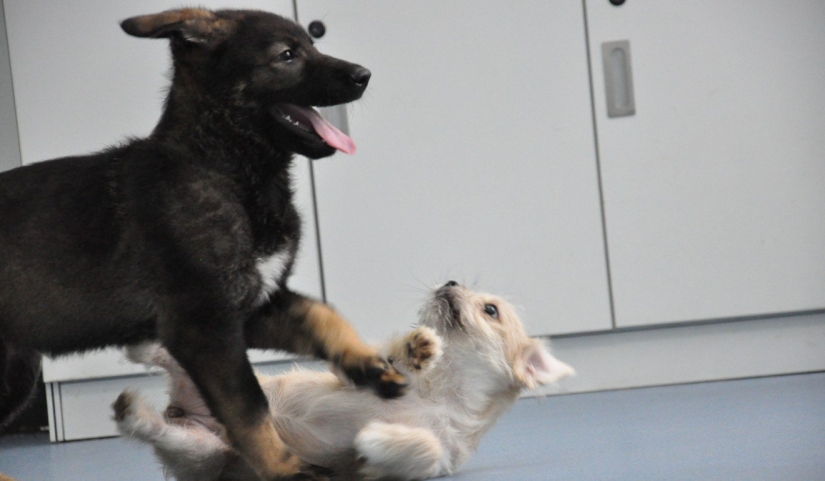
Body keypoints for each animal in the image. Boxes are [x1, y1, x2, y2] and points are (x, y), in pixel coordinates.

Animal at [0, 8, 406, 480]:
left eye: (312, 43)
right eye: (287, 55)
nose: (364, 75)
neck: (222, 165)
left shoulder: (254, 305)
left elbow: (322, 315)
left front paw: (371, 366)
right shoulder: (205, 326)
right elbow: (250, 407)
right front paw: (284, 469)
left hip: (15, 370)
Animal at [114, 282, 572, 480]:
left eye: (490, 310)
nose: (450, 280)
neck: (439, 395)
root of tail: (185, 405)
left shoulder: (436, 462)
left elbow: (422, 449)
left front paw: (375, 438)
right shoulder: (352, 374)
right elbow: (382, 358)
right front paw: (416, 347)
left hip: (204, 452)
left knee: (160, 431)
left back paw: (133, 411)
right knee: (166, 351)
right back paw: (144, 336)